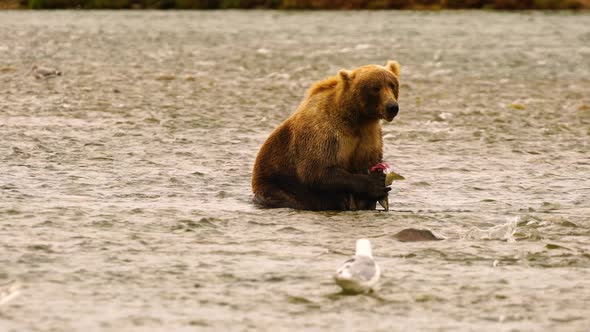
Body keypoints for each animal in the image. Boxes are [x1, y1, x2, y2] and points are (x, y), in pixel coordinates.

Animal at [252, 60, 400, 210]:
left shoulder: (369, 135)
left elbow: (368, 162)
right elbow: (317, 170)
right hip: (280, 185)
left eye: (392, 85)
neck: (355, 118)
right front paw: (376, 183)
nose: (392, 107)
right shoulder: (323, 132)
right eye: (375, 88)